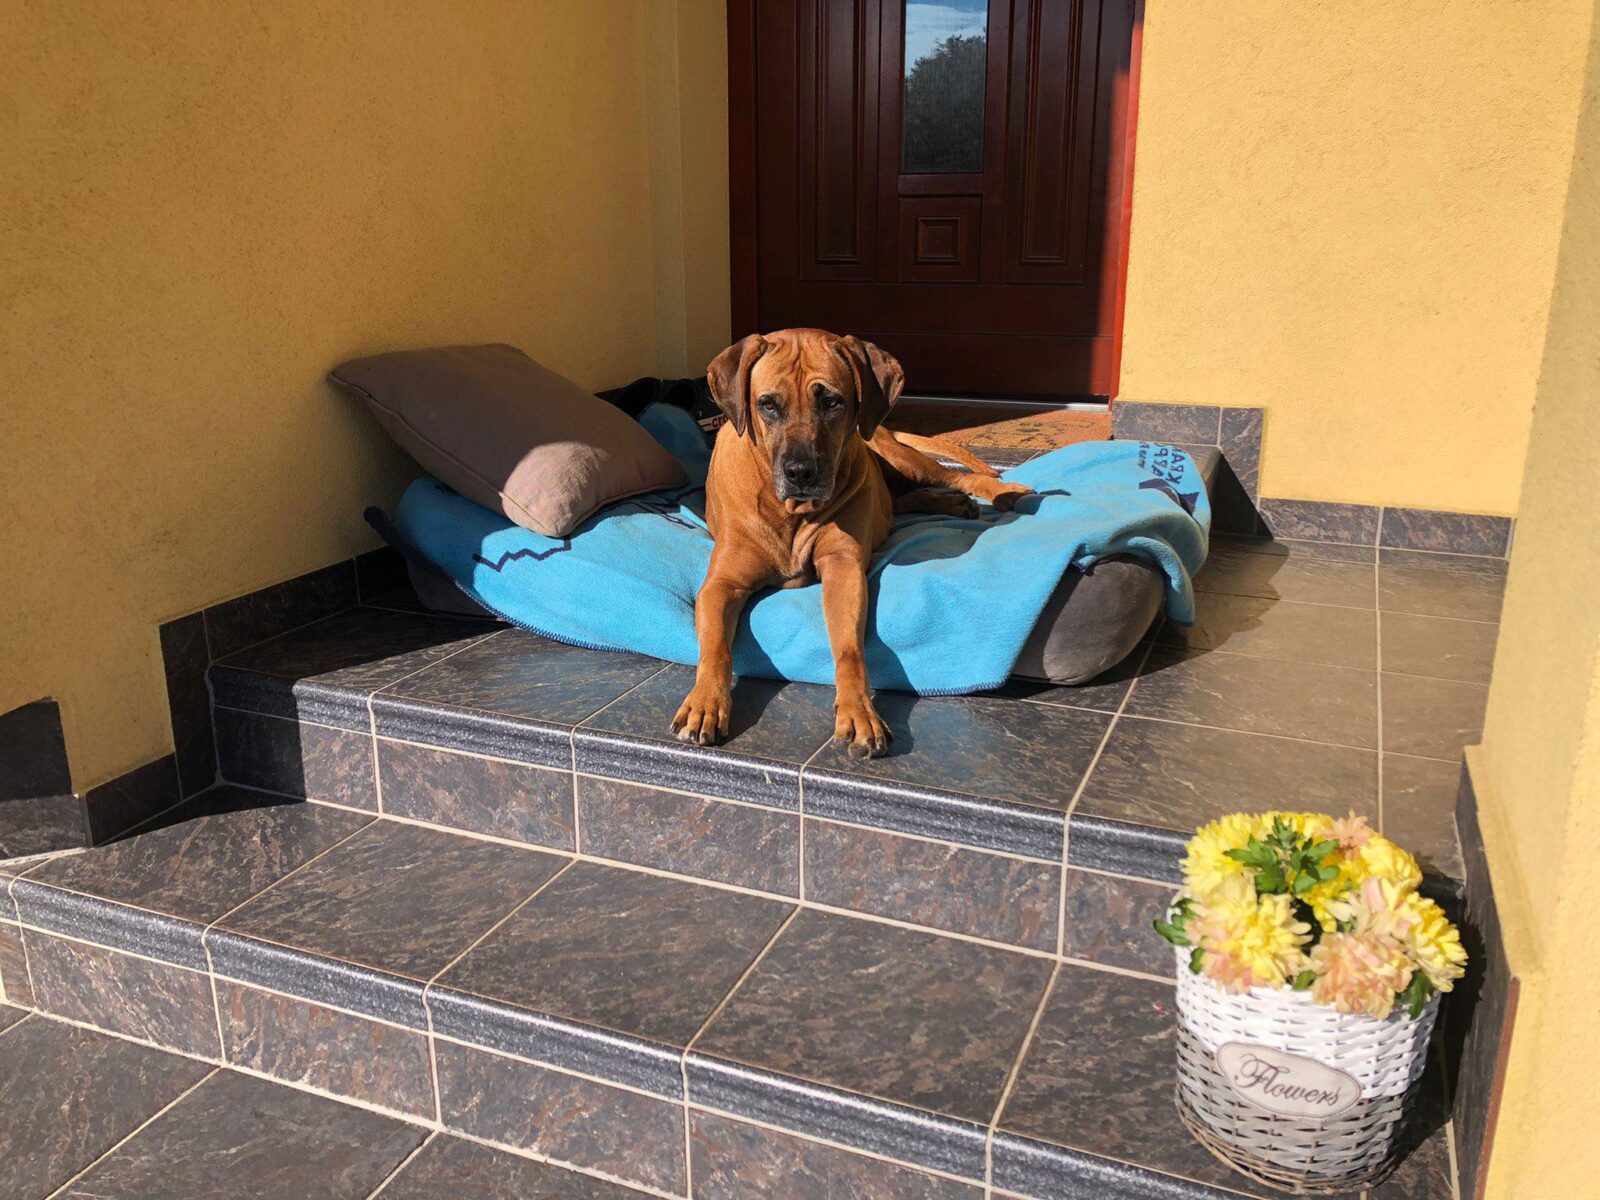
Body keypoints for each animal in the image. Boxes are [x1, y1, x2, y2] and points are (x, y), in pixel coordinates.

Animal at [671, 328, 1034, 758]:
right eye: (768, 405)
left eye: (831, 402)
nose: (800, 472)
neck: (790, 511)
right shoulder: (721, 585)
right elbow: (714, 649)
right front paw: (705, 703)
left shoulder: (842, 567)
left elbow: (848, 648)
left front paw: (858, 712)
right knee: (901, 500)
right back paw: (949, 504)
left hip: (900, 458)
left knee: (957, 478)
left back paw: (1005, 493)